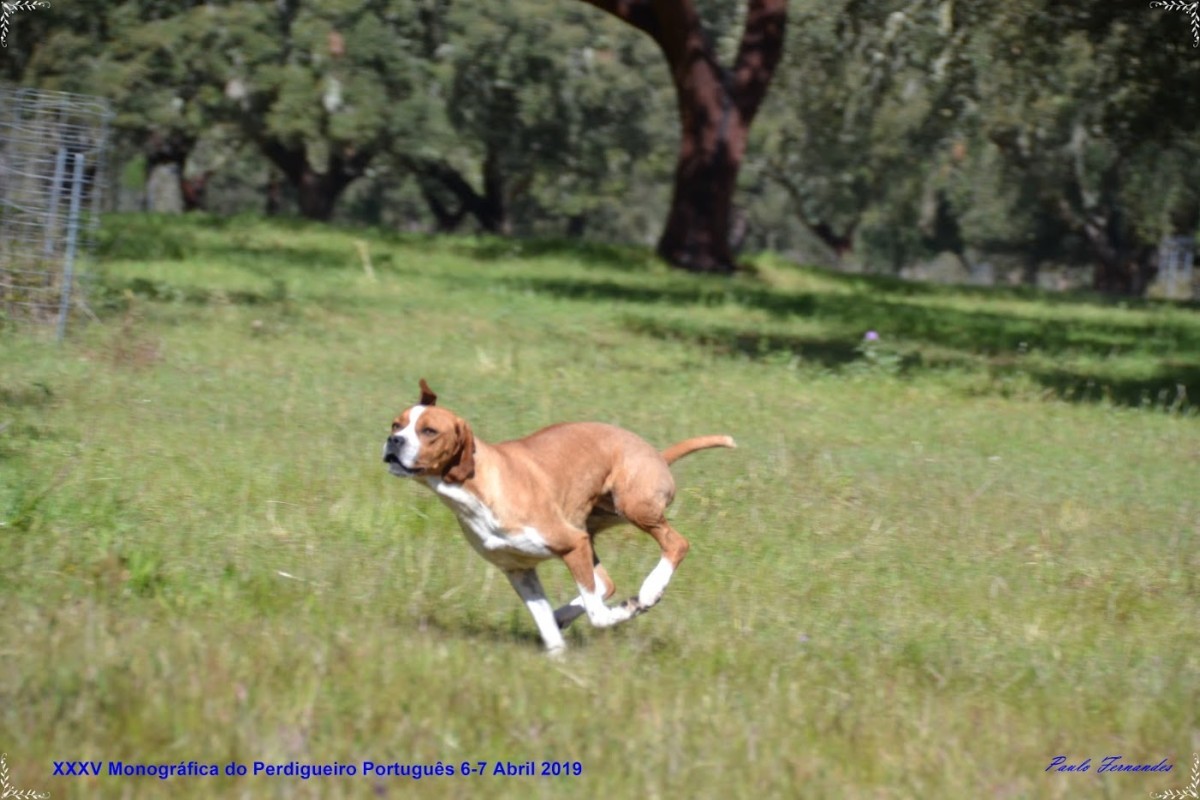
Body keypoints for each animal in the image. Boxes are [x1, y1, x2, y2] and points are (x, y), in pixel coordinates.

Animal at [383, 379, 735, 654]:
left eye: (429, 431)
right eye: (396, 424)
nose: (394, 441)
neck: (476, 487)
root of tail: (657, 455)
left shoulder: (571, 544)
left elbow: (598, 616)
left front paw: (627, 610)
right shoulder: (519, 570)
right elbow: (546, 623)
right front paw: (557, 657)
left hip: (632, 509)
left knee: (676, 545)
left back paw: (649, 591)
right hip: (590, 533)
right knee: (605, 583)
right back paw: (565, 615)